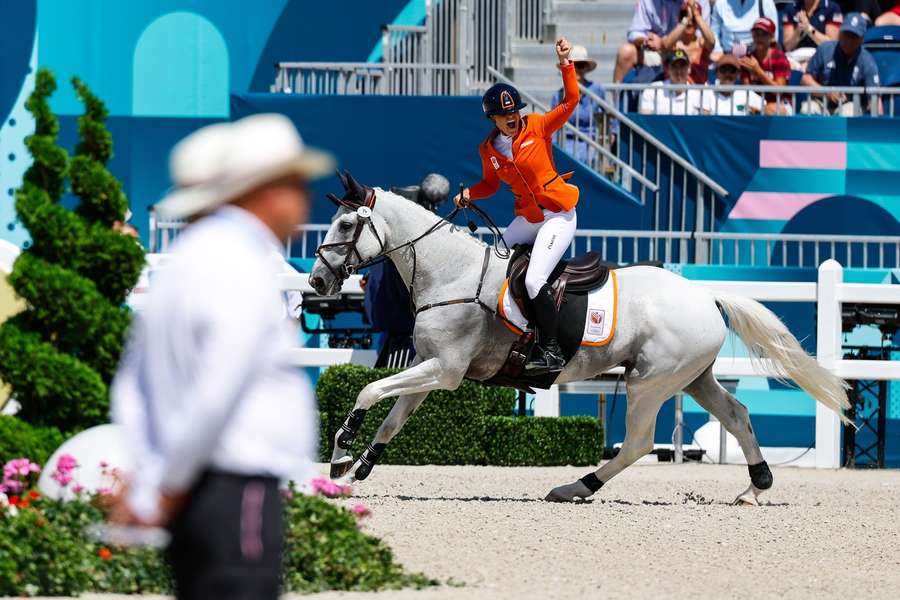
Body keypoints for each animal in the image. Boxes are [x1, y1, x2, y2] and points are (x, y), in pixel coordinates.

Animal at [306, 171, 848, 504]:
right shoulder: (430, 369)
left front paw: (341, 452)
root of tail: (704, 294)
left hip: (649, 382)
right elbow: (392, 419)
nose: (317, 283)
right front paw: (359, 467)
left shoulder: (446, 371)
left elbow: (369, 390)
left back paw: (575, 488)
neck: (451, 273)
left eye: (348, 223)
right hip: (695, 379)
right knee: (736, 416)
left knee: (638, 443)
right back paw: (756, 485)